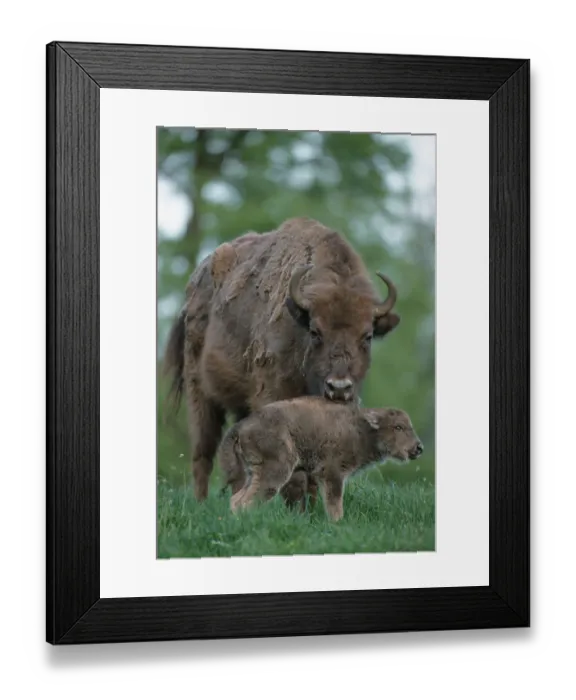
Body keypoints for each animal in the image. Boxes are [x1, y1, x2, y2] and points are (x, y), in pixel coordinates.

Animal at [163, 217, 401, 504]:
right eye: (315, 331)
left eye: (367, 336)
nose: (339, 388)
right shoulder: (273, 396)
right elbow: (294, 473)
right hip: (200, 391)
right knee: (203, 451)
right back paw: (201, 502)